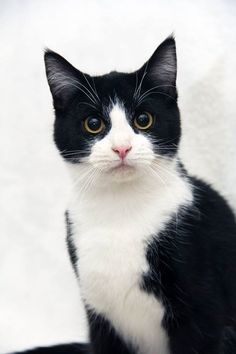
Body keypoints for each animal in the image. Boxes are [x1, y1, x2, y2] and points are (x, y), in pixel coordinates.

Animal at [12, 36, 236, 354]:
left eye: (143, 119)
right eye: (93, 124)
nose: (121, 148)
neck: (120, 210)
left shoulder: (202, 308)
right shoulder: (100, 317)